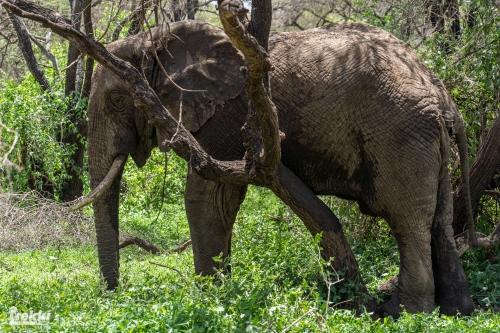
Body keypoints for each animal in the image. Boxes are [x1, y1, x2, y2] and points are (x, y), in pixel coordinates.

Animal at [87, 19, 476, 316]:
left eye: (119, 100)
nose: (114, 294)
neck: (155, 40)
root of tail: (441, 92)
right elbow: (224, 201)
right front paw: (222, 293)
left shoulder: (225, 114)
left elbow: (205, 197)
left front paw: (211, 299)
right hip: (427, 139)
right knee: (438, 220)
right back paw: (457, 311)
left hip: (400, 134)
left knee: (407, 221)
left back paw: (403, 312)